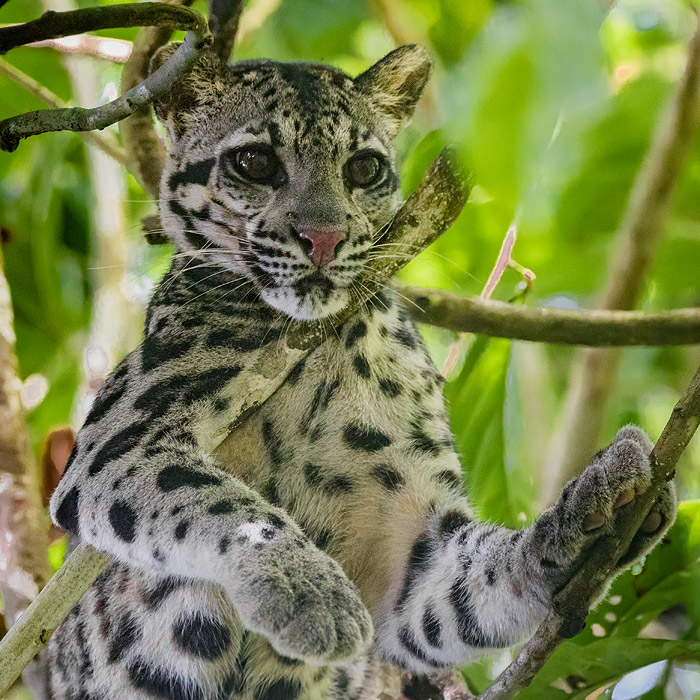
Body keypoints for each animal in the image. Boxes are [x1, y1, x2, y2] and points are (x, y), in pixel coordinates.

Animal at [47, 43, 676, 700]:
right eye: (255, 161)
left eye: (365, 168)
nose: (324, 238)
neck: (319, 350)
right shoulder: (123, 436)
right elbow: (220, 501)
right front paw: (311, 595)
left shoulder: (409, 551)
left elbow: (479, 577)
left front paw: (592, 507)